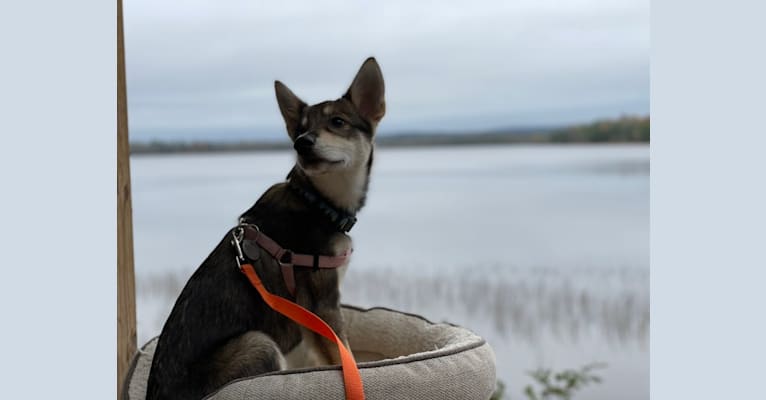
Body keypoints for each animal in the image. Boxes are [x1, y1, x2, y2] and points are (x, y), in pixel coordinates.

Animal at [145, 57, 388, 400]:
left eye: (338, 122)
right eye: (300, 130)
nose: (302, 143)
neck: (317, 201)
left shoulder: (307, 322)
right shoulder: (323, 303)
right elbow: (345, 358)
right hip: (259, 343)